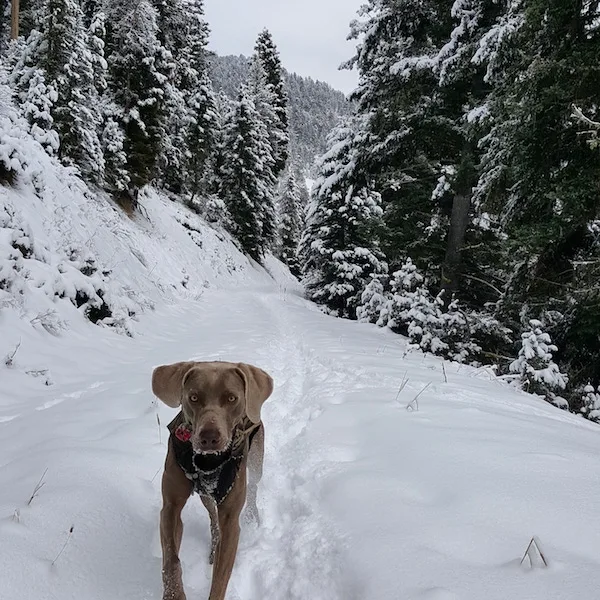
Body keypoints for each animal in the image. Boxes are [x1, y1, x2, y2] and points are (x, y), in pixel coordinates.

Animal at [151, 358, 274, 596]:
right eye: (193, 397)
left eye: (232, 398)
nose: (209, 437)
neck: (207, 462)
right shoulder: (170, 507)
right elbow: (171, 560)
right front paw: (173, 593)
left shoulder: (231, 521)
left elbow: (220, 578)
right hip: (205, 494)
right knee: (213, 517)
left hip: (256, 459)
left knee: (253, 487)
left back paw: (251, 514)